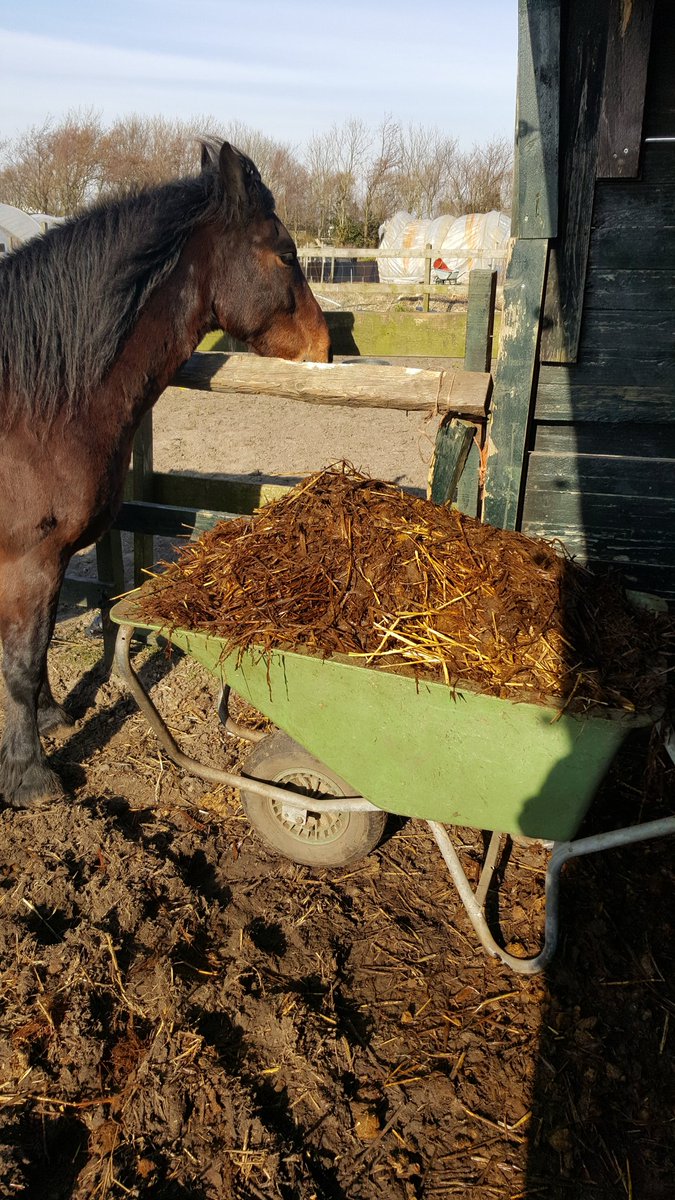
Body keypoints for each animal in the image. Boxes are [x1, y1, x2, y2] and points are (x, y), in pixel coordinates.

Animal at [0, 137, 331, 810]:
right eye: (286, 253)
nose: (326, 344)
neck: (39, 403)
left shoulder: (44, 563)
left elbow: (37, 651)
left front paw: (51, 719)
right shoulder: (27, 559)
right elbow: (20, 662)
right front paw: (31, 779)